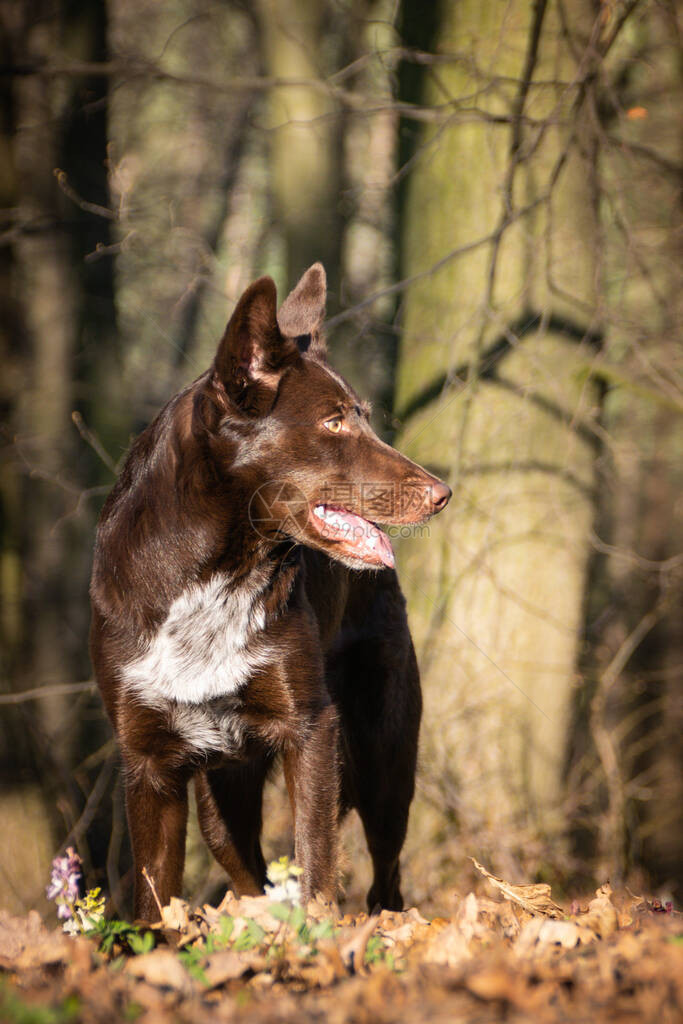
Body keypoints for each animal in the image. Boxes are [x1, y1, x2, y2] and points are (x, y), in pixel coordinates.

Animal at [90, 264, 450, 921]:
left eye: (362, 415)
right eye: (333, 421)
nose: (443, 493)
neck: (210, 572)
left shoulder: (311, 727)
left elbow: (316, 865)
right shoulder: (149, 761)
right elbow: (155, 900)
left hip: (384, 759)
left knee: (385, 876)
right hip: (221, 795)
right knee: (247, 873)